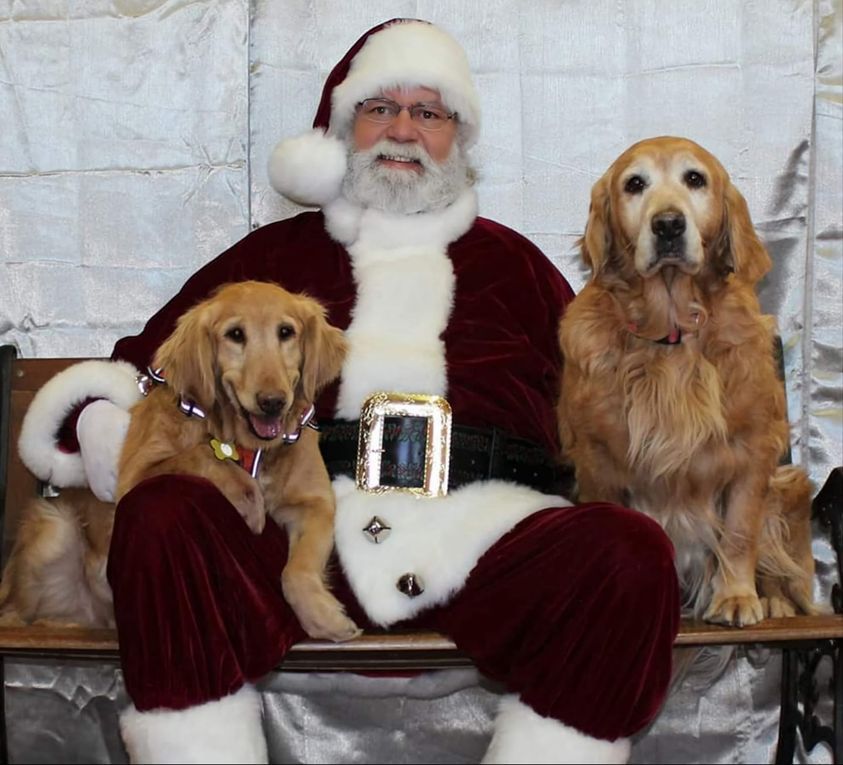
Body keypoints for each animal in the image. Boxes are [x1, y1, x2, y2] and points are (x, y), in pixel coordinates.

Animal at [560, 136, 816, 628]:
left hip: (788, 484)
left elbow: (738, 533)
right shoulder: (597, 458)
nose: (667, 224)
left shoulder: (753, 452)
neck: (670, 335)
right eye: (634, 184)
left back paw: (773, 598)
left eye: (694, 179)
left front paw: (736, 597)